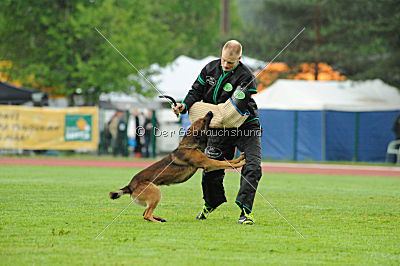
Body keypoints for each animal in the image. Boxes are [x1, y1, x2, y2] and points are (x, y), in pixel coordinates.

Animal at [110, 111, 247, 222]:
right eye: (203, 120)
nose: (210, 111)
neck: (190, 145)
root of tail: (130, 185)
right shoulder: (208, 163)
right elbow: (226, 163)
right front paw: (240, 163)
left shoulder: (208, 163)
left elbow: (228, 161)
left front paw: (239, 159)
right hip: (155, 192)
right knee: (146, 215)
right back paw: (157, 221)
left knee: (145, 212)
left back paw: (159, 218)